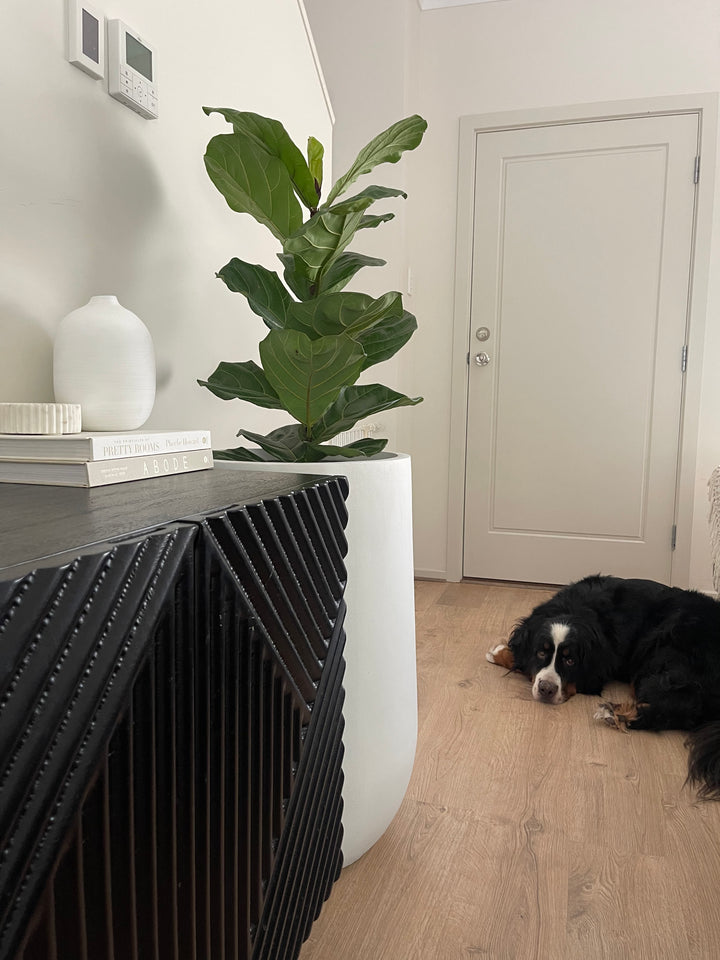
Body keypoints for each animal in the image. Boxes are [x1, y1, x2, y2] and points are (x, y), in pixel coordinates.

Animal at [486, 572, 720, 800]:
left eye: (570, 661)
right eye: (541, 652)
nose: (546, 689)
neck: (578, 609)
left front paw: (497, 652)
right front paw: (501, 652)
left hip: (662, 658)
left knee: (673, 708)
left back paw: (614, 714)